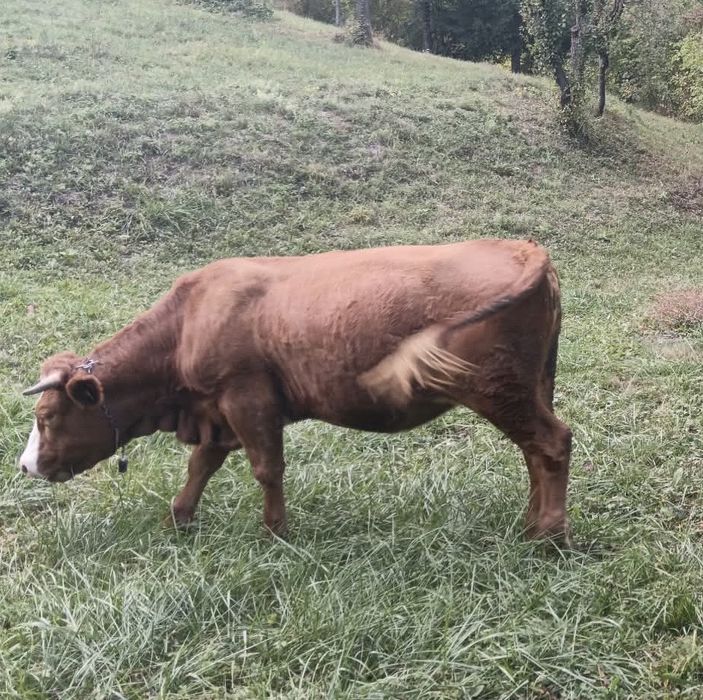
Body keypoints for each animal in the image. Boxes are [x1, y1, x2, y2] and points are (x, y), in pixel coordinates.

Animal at [19, 239, 572, 541]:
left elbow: (267, 469)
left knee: (552, 443)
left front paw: (274, 533)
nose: (24, 466)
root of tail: (524, 248)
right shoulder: (217, 413)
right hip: (530, 387)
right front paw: (179, 519)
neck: (186, 325)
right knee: (535, 452)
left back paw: (548, 536)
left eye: (47, 418)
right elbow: (201, 465)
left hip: (498, 388)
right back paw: (531, 523)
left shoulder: (247, 399)